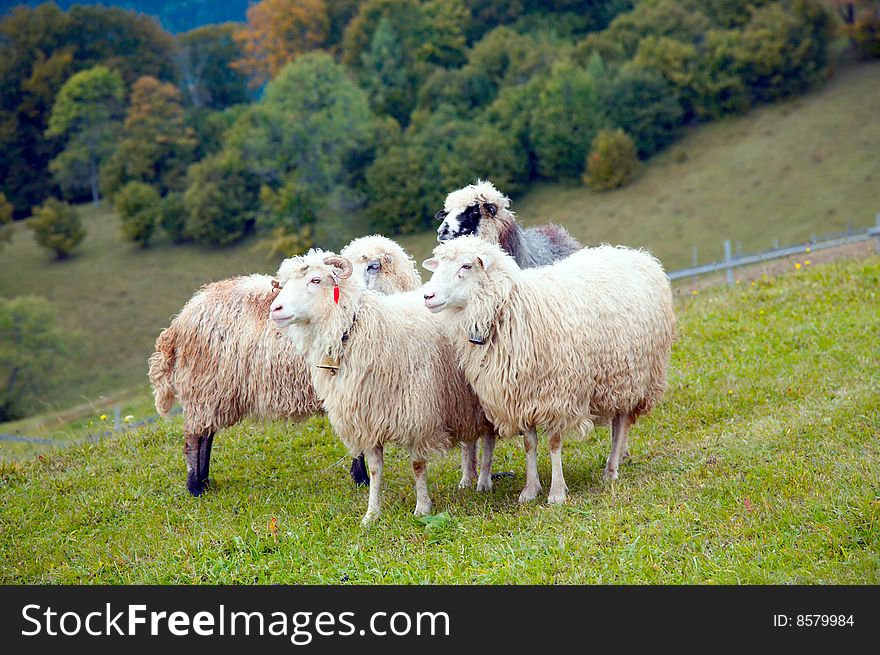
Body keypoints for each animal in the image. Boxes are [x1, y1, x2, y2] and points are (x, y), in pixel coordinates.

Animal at [148, 236, 422, 498]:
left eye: (373, 266)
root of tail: (181, 319)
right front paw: (361, 479)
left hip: (211, 391)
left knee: (206, 434)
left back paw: (204, 482)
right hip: (204, 387)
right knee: (195, 438)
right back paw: (195, 487)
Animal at [270, 249, 496, 524]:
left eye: (315, 280)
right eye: (284, 284)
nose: (275, 309)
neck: (354, 329)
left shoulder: (417, 413)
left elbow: (417, 465)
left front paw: (422, 508)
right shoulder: (368, 419)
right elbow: (376, 470)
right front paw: (371, 514)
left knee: (489, 439)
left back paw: (483, 481)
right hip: (461, 400)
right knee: (470, 441)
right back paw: (466, 479)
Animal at [422, 238, 676, 504]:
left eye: (466, 265)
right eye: (438, 264)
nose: (428, 296)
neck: (508, 308)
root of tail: (636, 254)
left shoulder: (557, 394)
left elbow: (554, 443)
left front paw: (557, 492)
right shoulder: (522, 396)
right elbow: (529, 444)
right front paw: (530, 489)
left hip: (635, 375)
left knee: (621, 424)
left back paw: (611, 469)